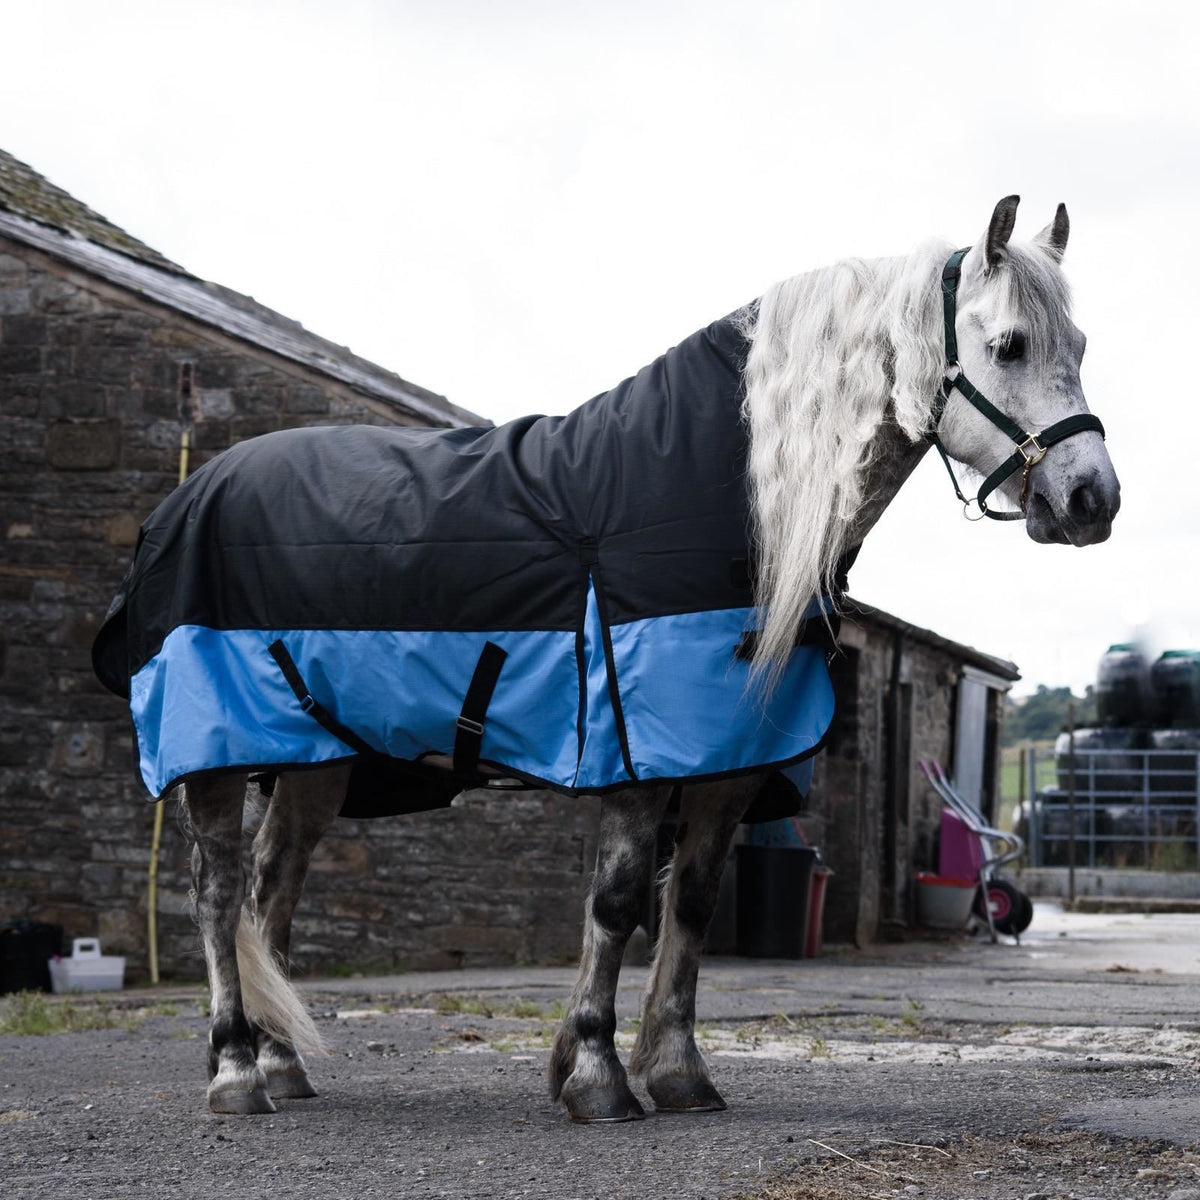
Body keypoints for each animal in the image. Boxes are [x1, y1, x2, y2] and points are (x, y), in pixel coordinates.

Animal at [93, 196, 1119, 1121]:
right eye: (1009, 345)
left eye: (1079, 346)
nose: (1091, 499)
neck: (721, 498)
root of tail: (187, 497)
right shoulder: (634, 752)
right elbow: (619, 903)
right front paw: (594, 1073)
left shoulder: (726, 762)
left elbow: (692, 904)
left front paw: (678, 1072)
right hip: (215, 756)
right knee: (218, 895)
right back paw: (234, 1073)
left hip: (313, 762)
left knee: (272, 890)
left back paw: (282, 1065)